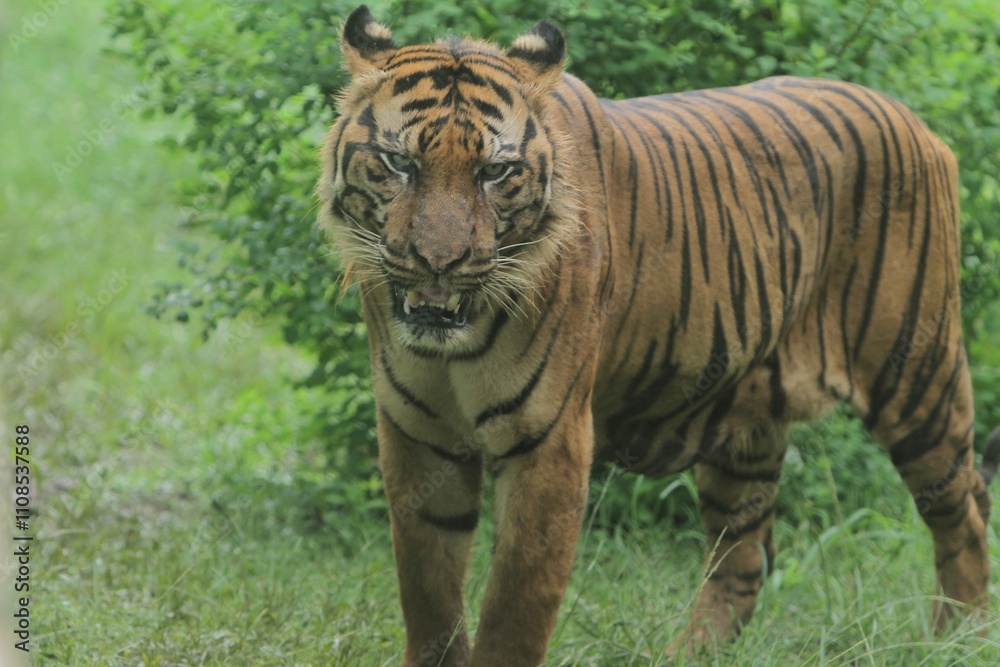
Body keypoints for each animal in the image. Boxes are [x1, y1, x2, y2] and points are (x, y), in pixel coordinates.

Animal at [317, 5, 1000, 666]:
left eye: (495, 172)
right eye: (401, 163)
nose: (439, 261)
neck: (452, 350)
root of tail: (912, 119)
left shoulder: (550, 443)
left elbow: (515, 610)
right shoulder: (416, 435)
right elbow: (428, 595)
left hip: (917, 379)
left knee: (963, 513)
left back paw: (956, 641)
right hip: (745, 425)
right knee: (744, 560)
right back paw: (692, 655)